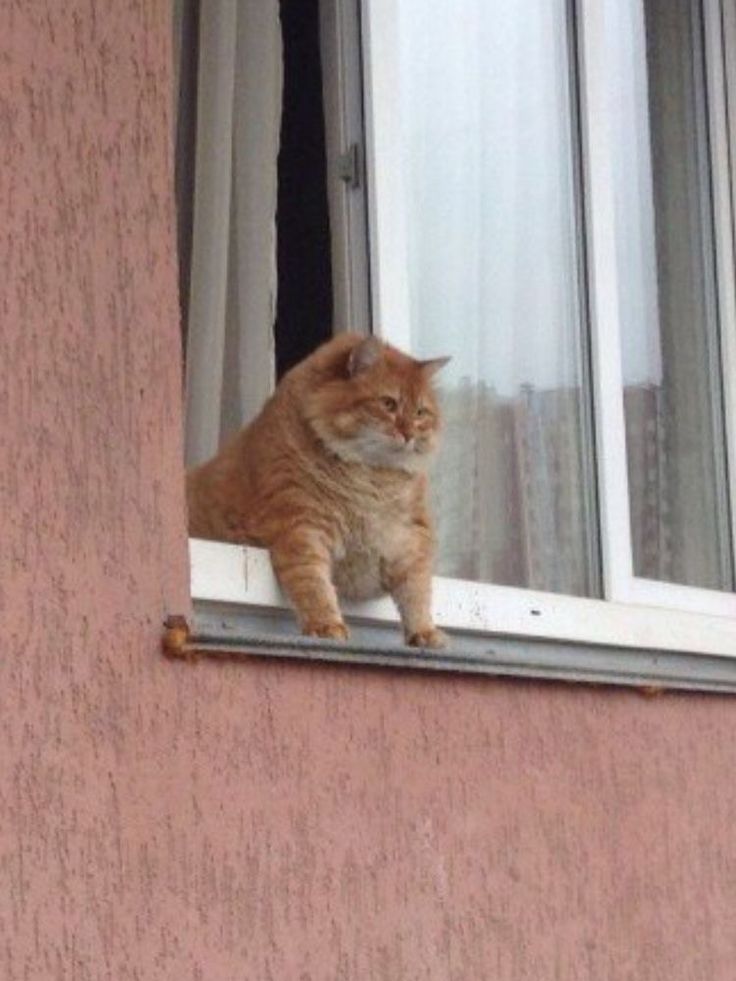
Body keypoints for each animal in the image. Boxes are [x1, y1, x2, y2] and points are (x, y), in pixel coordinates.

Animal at [187, 334, 448, 648]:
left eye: (421, 412)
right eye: (389, 404)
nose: (410, 434)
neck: (371, 479)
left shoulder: (409, 539)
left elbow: (417, 592)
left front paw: (424, 632)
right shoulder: (301, 526)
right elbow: (314, 585)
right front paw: (326, 625)